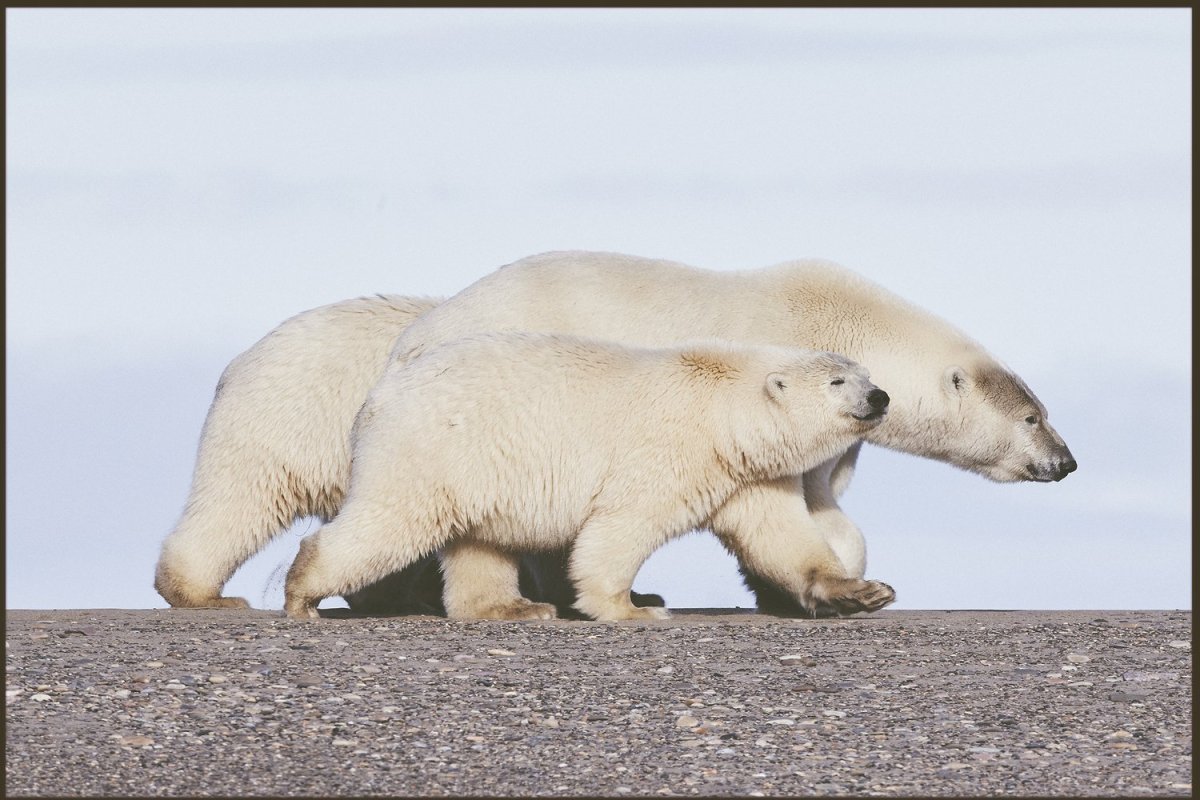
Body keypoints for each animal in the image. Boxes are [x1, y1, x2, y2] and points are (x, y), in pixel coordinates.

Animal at [282, 333, 895, 621]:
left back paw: (515, 608)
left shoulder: (744, 476)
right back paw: (303, 593)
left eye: (865, 373)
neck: (723, 405)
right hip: (431, 451)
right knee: (392, 521)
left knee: (481, 542)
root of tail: (376, 397)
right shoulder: (672, 449)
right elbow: (622, 525)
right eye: (839, 381)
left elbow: (782, 538)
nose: (880, 396)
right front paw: (634, 608)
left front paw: (863, 592)